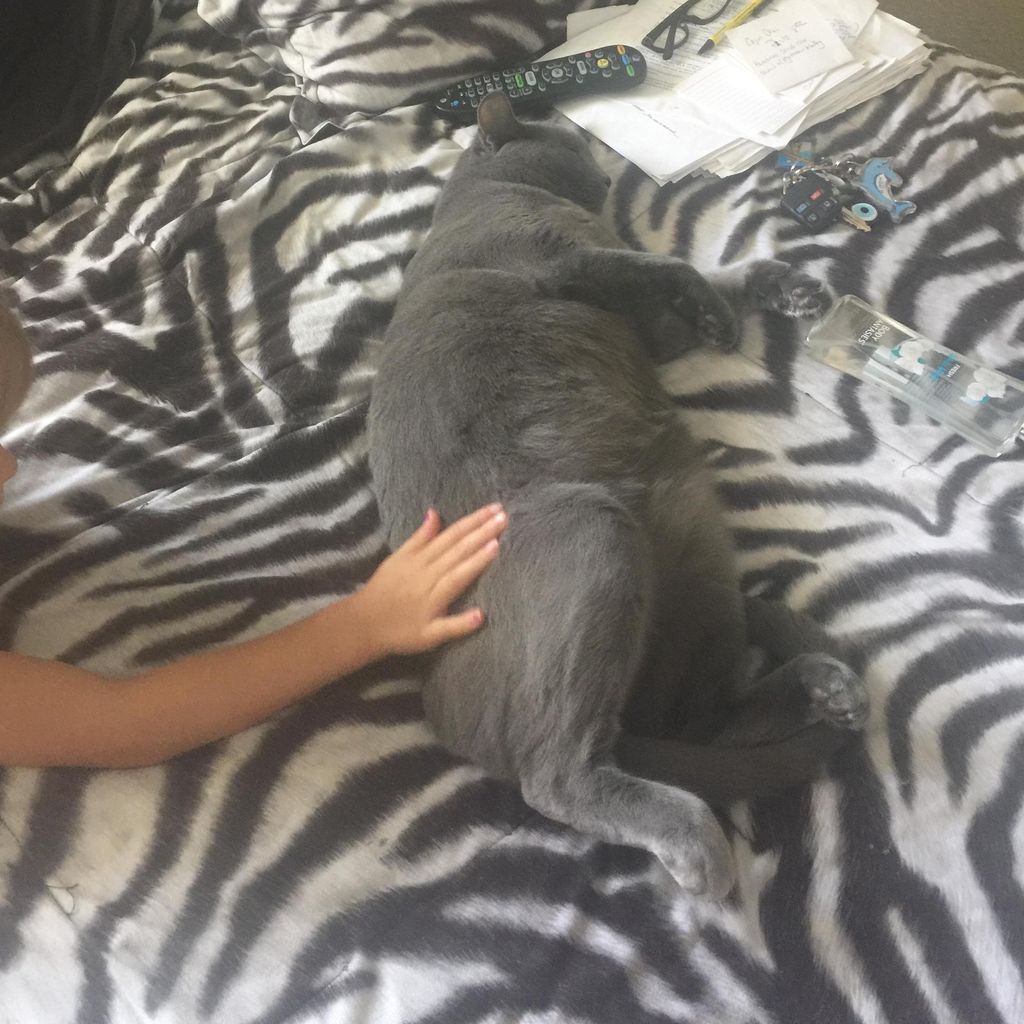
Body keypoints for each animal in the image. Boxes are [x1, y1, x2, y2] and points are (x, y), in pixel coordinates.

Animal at [367, 93, 867, 898]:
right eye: (572, 148)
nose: (606, 177)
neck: (481, 198)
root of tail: (435, 698)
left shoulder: (644, 320)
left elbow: (710, 277)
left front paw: (779, 289)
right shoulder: (568, 260)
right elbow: (668, 263)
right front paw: (722, 310)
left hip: (695, 564)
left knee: (700, 721)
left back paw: (824, 687)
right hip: (593, 531)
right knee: (558, 773)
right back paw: (697, 842)